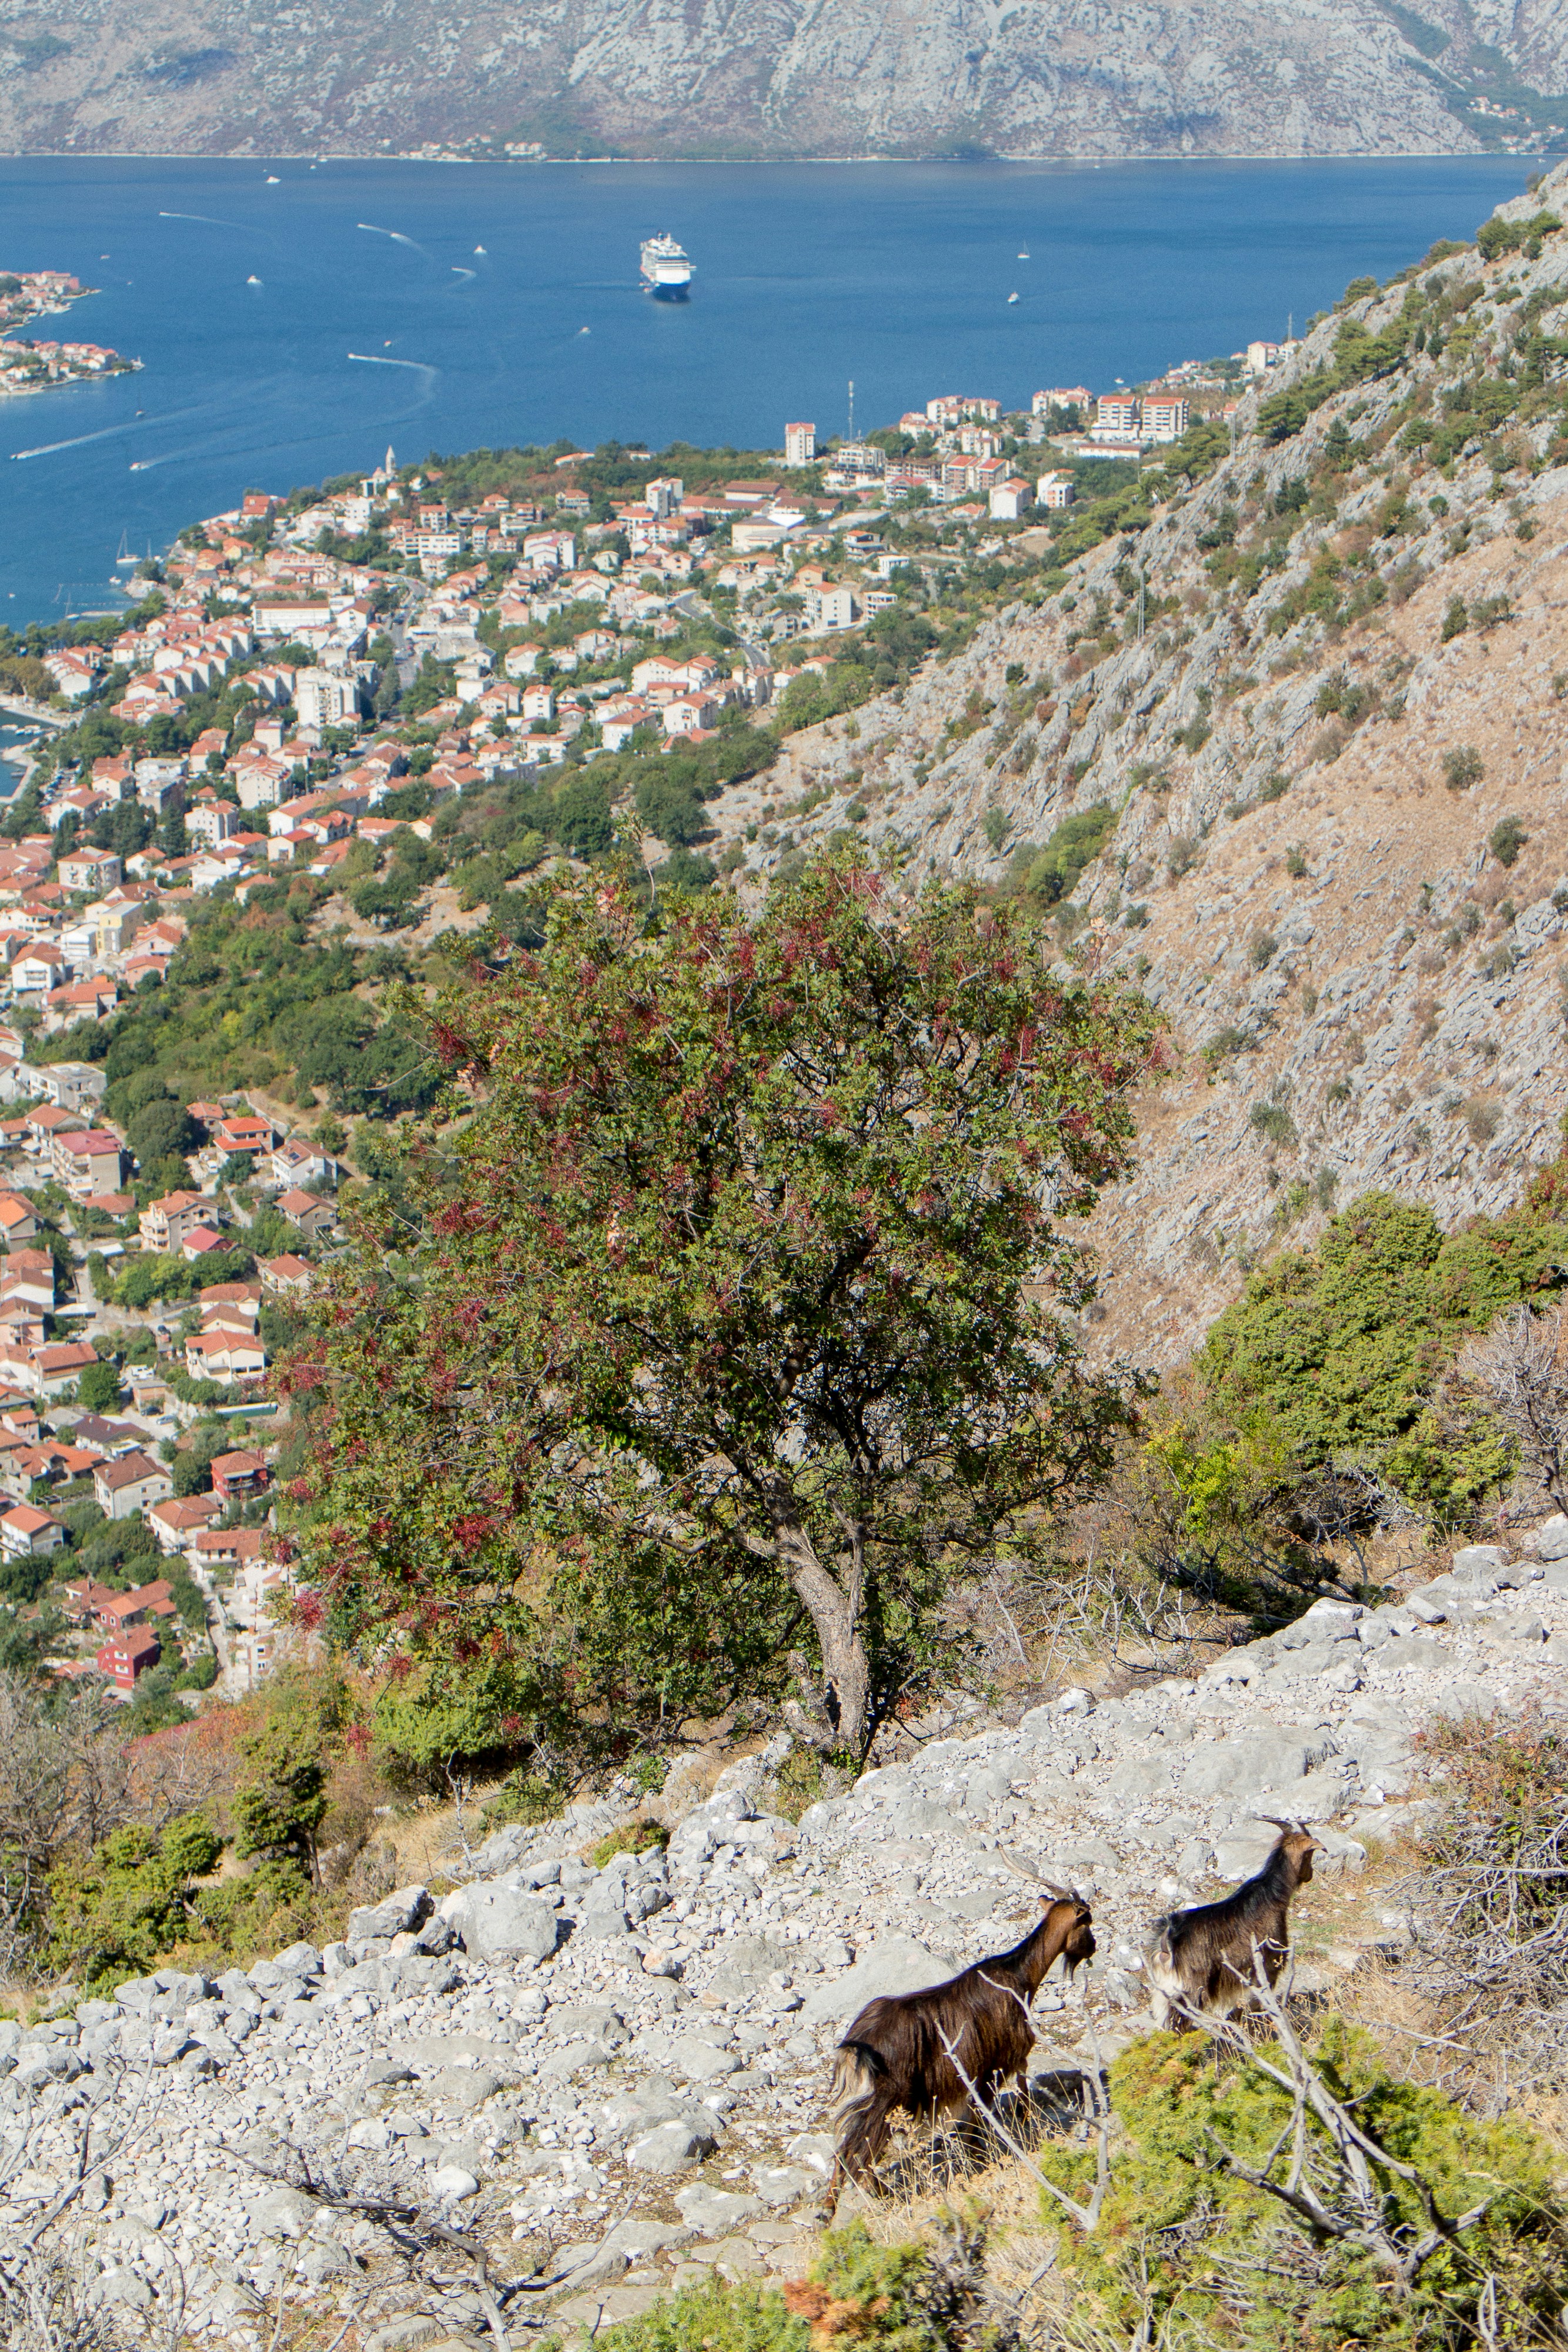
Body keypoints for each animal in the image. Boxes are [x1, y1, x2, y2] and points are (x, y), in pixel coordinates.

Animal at [830, 1856, 1095, 2189]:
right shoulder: (1002, 2059)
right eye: (1088, 1922)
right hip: (884, 2101)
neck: (1019, 1974)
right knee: (854, 2154)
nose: (1094, 1947)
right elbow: (1003, 2107)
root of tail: (859, 2041)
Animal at [1145, 1819, 1322, 2030]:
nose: (1310, 1875)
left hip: (1165, 1992)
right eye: (1309, 1855)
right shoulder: (1268, 1962)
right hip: (1191, 1989)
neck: (1269, 1897)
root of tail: (1167, 1942)